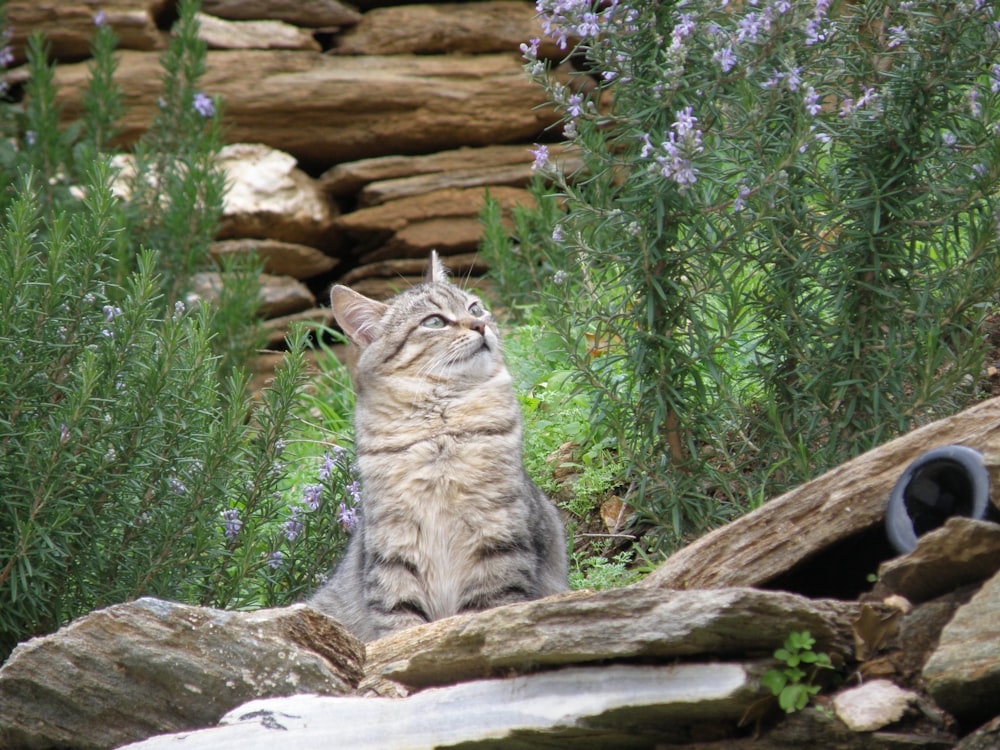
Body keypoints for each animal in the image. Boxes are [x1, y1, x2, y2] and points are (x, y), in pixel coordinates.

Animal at [308, 253, 568, 640]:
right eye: (433, 321)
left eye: (475, 307)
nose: (480, 325)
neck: (440, 434)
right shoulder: (394, 551)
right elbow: (399, 622)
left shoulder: (499, 540)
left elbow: (485, 610)